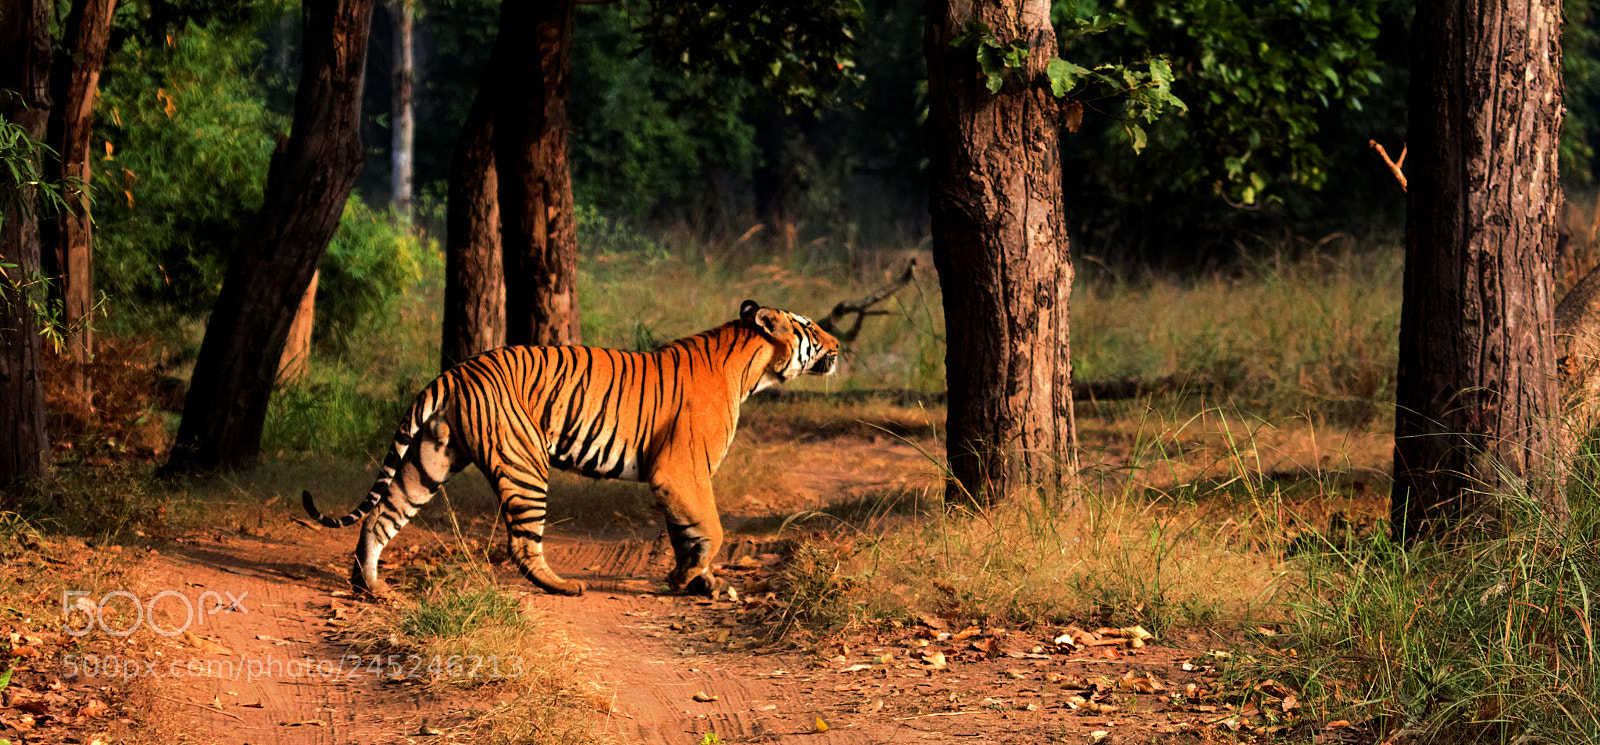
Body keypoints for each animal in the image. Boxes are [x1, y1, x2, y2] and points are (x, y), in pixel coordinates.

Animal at [302, 300, 840, 597]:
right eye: (809, 326)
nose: (838, 345)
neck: (752, 368)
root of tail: (454, 372)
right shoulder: (681, 470)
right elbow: (711, 526)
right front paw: (689, 579)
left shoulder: (676, 479)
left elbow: (684, 531)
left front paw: (693, 580)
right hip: (524, 464)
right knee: (522, 543)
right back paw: (563, 586)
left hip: (431, 459)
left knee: (382, 515)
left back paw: (371, 587)